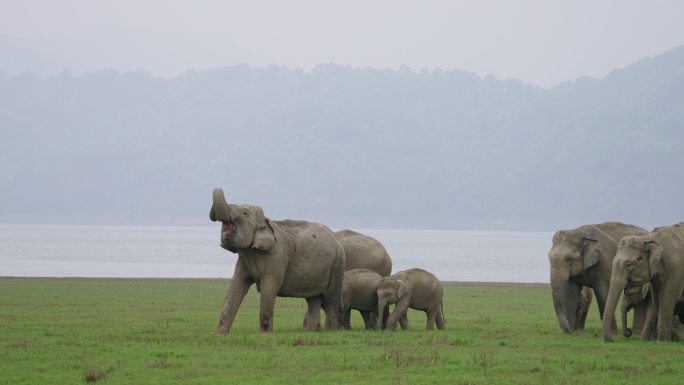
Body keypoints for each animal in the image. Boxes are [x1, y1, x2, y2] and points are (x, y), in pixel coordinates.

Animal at [210, 188, 348, 332]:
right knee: (314, 299)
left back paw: (330, 331)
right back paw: (311, 331)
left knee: (330, 300)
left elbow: (269, 287)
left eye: (245, 213)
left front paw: (264, 334)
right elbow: (235, 286)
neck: (266, 221)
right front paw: (219, 334)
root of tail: (336, 239)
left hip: (337, 266)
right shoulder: (244, 259)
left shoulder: (278, 257)